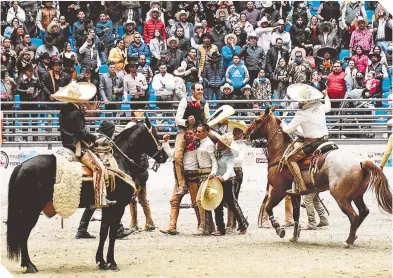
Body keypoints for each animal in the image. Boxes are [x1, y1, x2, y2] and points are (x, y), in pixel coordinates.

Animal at [6, 118, 168, 272]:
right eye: (155, 134)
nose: (164, 156)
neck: (119, 161)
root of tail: (21, 165)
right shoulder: (119, 206)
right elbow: (112, 234)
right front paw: (112, 262)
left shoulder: (107, 207)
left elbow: (103, 232)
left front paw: (101, 262)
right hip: (30, 210)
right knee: (23, 233)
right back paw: (29, 265)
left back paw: (27, 264)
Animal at [243, 106, 390, 248]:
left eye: (257, 120)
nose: (245, 133)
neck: (280, 152)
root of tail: (361, 162)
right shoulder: (294, 194)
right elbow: (296, 215)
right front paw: (294, 236)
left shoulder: (279, 190)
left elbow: (268, 207)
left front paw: (280, 229)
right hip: (357, 195)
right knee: (363, 212)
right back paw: (354, 237)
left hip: (341, 198)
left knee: (354, 216)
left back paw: (348, 241)